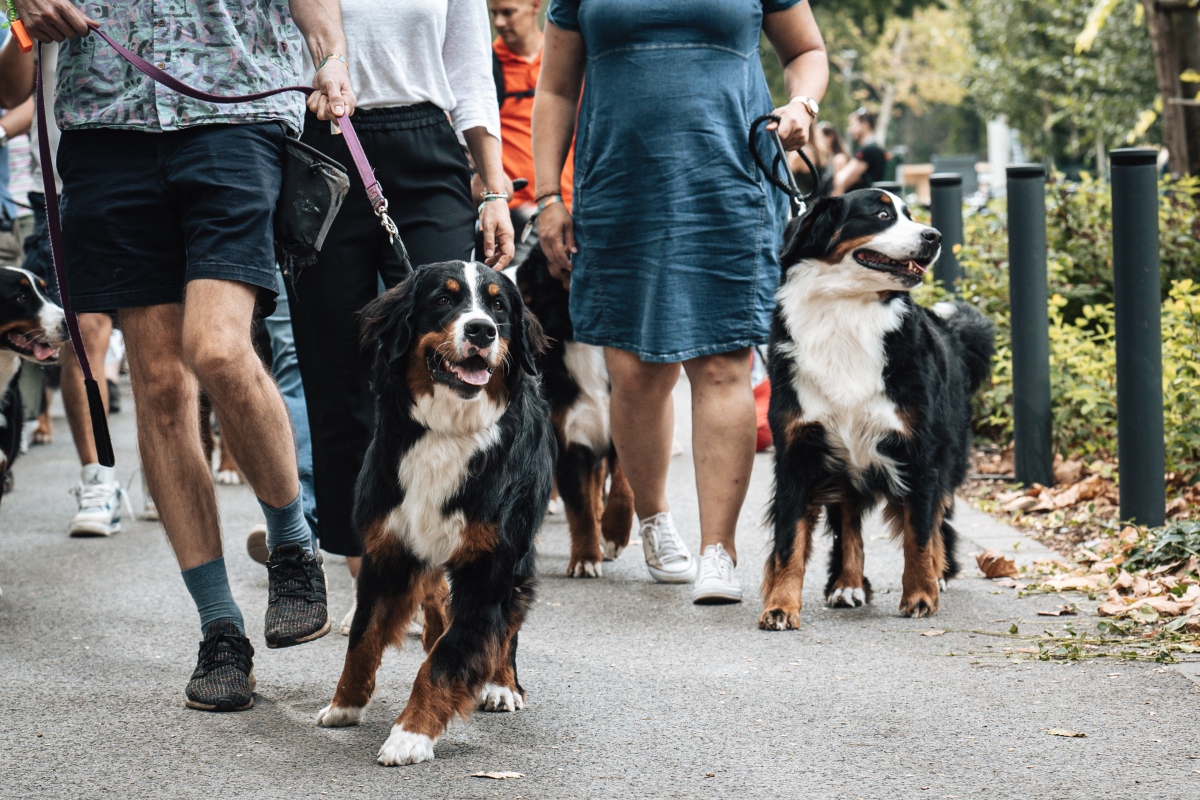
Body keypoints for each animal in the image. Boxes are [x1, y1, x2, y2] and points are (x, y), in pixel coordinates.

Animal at [319, 260, 556, 767]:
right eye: (444, 299)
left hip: (519, 554)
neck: (447, 432)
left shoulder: (490, 566)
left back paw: (501, 685)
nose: (482, 330)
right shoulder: (388, 550)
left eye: (498, 306)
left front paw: (410, 735)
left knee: (507, 625)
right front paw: (345, 705)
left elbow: (447, 662)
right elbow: (363, 639)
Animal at [758, 190, 993, 628]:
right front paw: (780, 606)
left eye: (911, 215)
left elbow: (919, 532)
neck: (845, 312)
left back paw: (938, 571)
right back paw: (847, 584)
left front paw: (920, 594)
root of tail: (950, 329)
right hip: (846, 464)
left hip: (947, 452)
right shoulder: (797, 453)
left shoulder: (918, 451)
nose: (934, 236)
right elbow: (788, 541)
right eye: (882, 215)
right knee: (848, 523)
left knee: (938, 517)